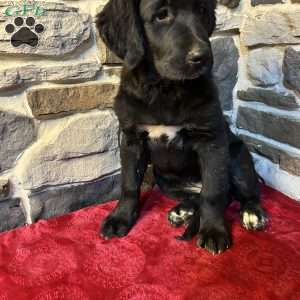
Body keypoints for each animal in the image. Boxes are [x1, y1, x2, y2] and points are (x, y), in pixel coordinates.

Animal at [96, 0, 268, 254]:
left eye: (202, 11)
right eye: (161, 15)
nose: (203, 56)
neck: (165, 88)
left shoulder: (211, 140)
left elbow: (213, 192)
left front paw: (213, 230)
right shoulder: (131, 138)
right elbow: (128, 183)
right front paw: (120, 218)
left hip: (239, 157)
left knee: (240, 191)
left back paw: (252, 213)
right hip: (165, 181)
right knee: (199, 196)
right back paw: (182, 210)